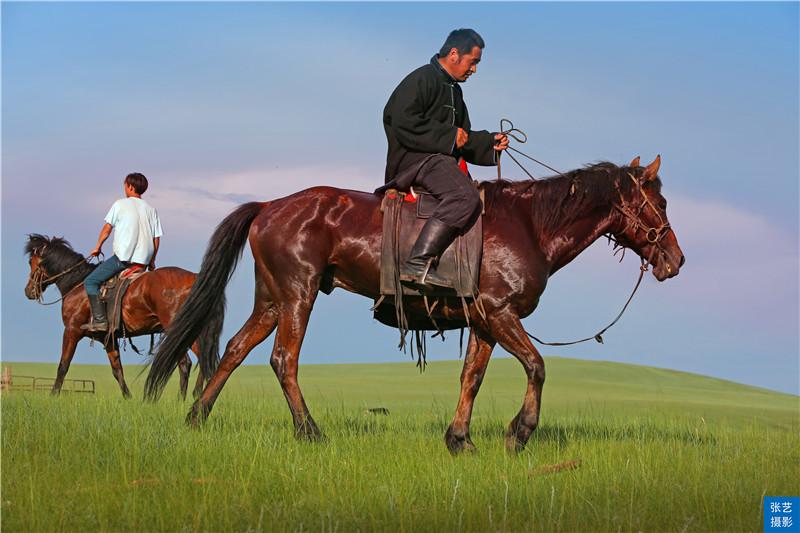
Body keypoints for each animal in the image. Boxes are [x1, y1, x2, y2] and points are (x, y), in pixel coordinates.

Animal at [23, 235, 223, 396]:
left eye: (31, 262)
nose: (28, 291)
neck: (77, 284)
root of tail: (195, 278)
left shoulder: (71, 331)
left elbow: (63, 366)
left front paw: (53, 395)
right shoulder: (109, 339)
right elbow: (117, 370)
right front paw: (128, 398)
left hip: (180, 331)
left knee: (186, 364)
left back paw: (182, 400)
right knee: (204, 361)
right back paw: (198, 395)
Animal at [142, 154, 680, 454]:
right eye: (660, 204)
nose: (676, 260)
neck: (530, 223)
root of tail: (269, 206)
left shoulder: (483, 322)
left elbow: (471, 378)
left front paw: (459, 440)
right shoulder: (500, 313)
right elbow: (537, 366)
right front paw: (519, 432)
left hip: (273, 300)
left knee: (235, 350)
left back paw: (197, 418)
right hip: (298, 295)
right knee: (283, 359)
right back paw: (309, 432)